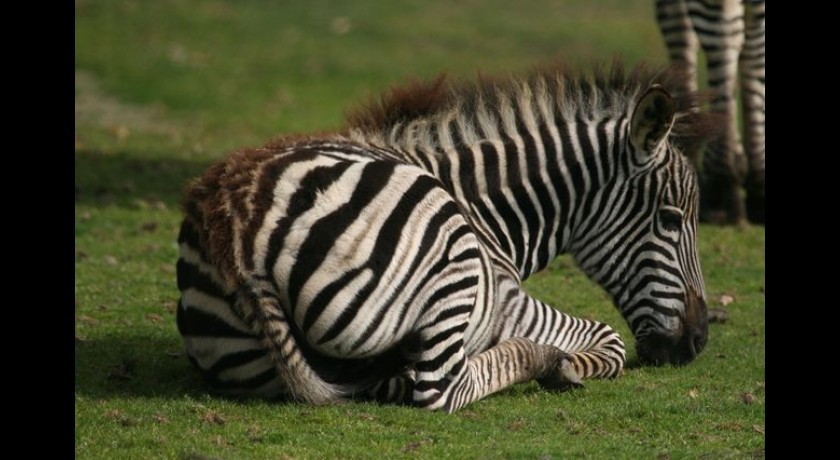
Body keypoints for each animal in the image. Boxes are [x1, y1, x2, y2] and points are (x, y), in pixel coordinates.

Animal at [177, 60, 716, 414]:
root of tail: (235, 224)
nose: (698, 341)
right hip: (451, 254)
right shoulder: (505, 301)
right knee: (440, 390)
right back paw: (543, 360)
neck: (484, 206)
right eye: (671, 220)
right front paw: (566, 364)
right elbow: (610, 340)